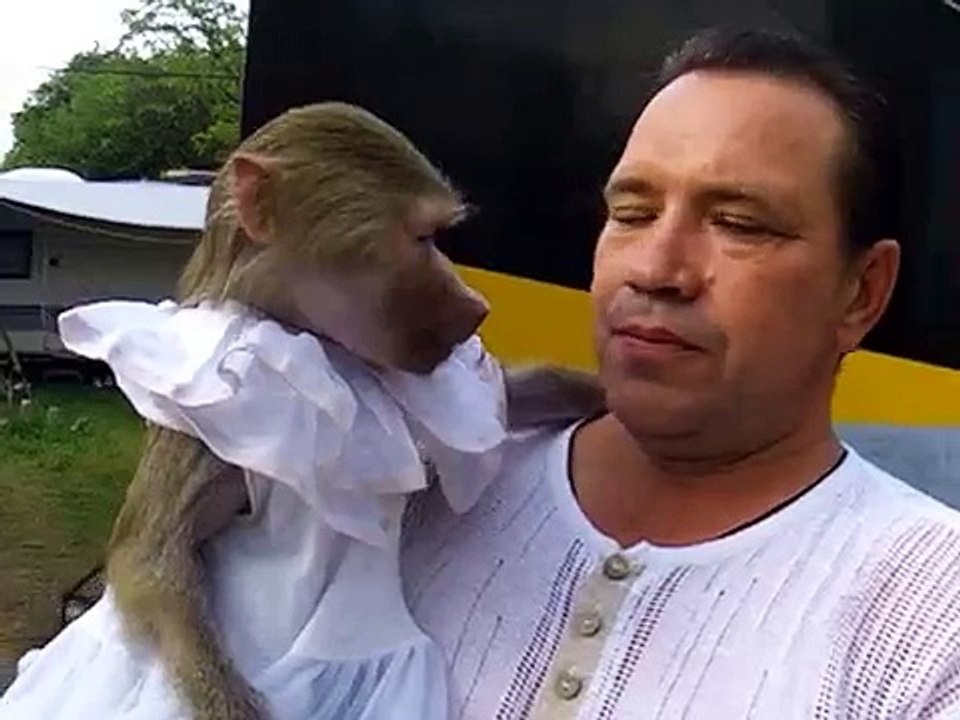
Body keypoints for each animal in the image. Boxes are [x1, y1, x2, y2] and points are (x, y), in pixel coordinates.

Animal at [14, 102, 606, 720]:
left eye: (438, 237)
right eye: (423, 237)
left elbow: (505, 403)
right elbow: (145, 560)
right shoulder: (206, 427)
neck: (312, 342)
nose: (477, 306)